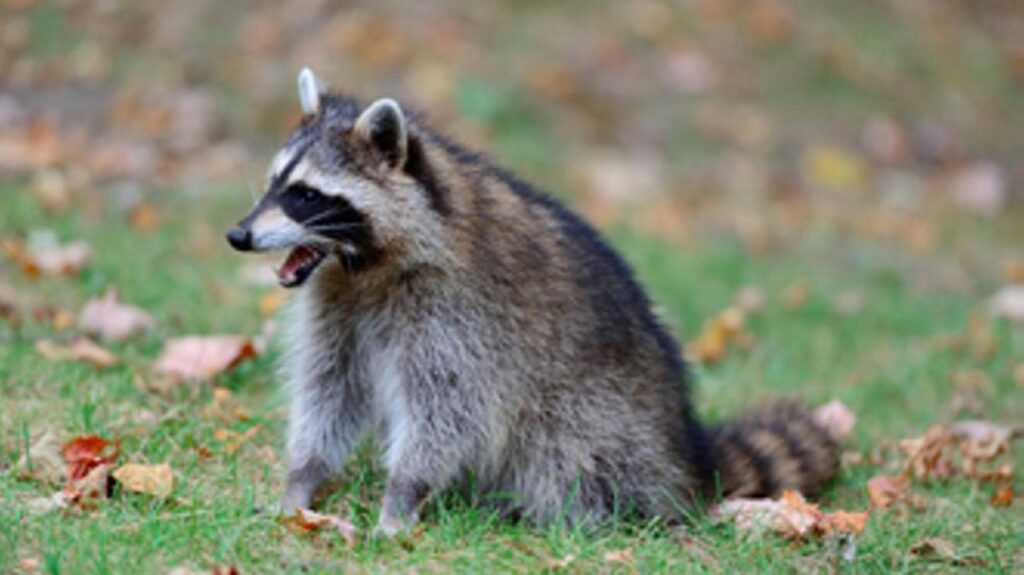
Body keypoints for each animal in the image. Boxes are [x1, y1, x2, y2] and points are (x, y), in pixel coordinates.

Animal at [226, 68, 840, 535]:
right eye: (274, 183)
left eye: (306, 195)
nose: (238, 235)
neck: (364, 266)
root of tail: (683, 458)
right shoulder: (340, 303)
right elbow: (331, 386)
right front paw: (302, 478)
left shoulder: (458, 314)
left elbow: (446, 411)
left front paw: (402, 496)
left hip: (604, 413)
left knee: (566, 448)